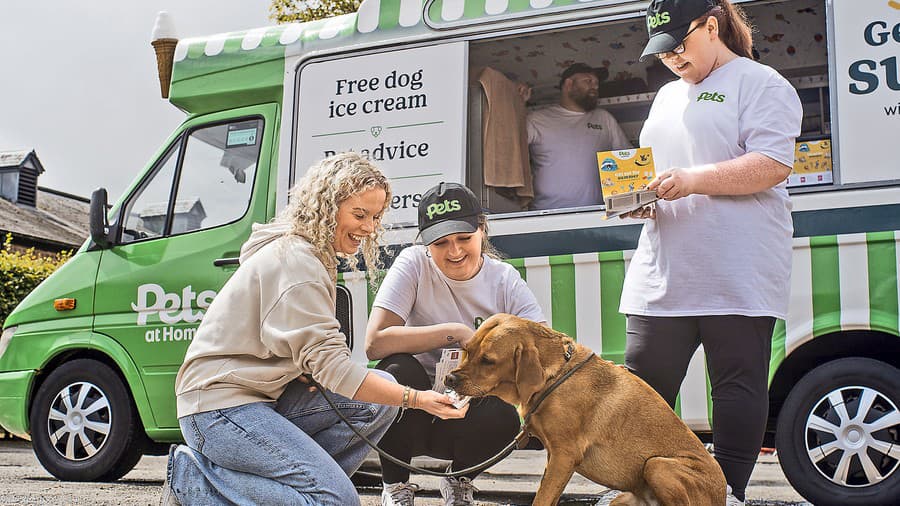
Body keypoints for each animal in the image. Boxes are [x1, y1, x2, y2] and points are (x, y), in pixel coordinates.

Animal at [446, 314, 728, 504]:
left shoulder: (564, 455)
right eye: (466, 350)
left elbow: (542, 498)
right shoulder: (554, 458)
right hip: (624, 497)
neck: (556, 375)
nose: (449, 379)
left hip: (658, 465)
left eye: (488, 361)